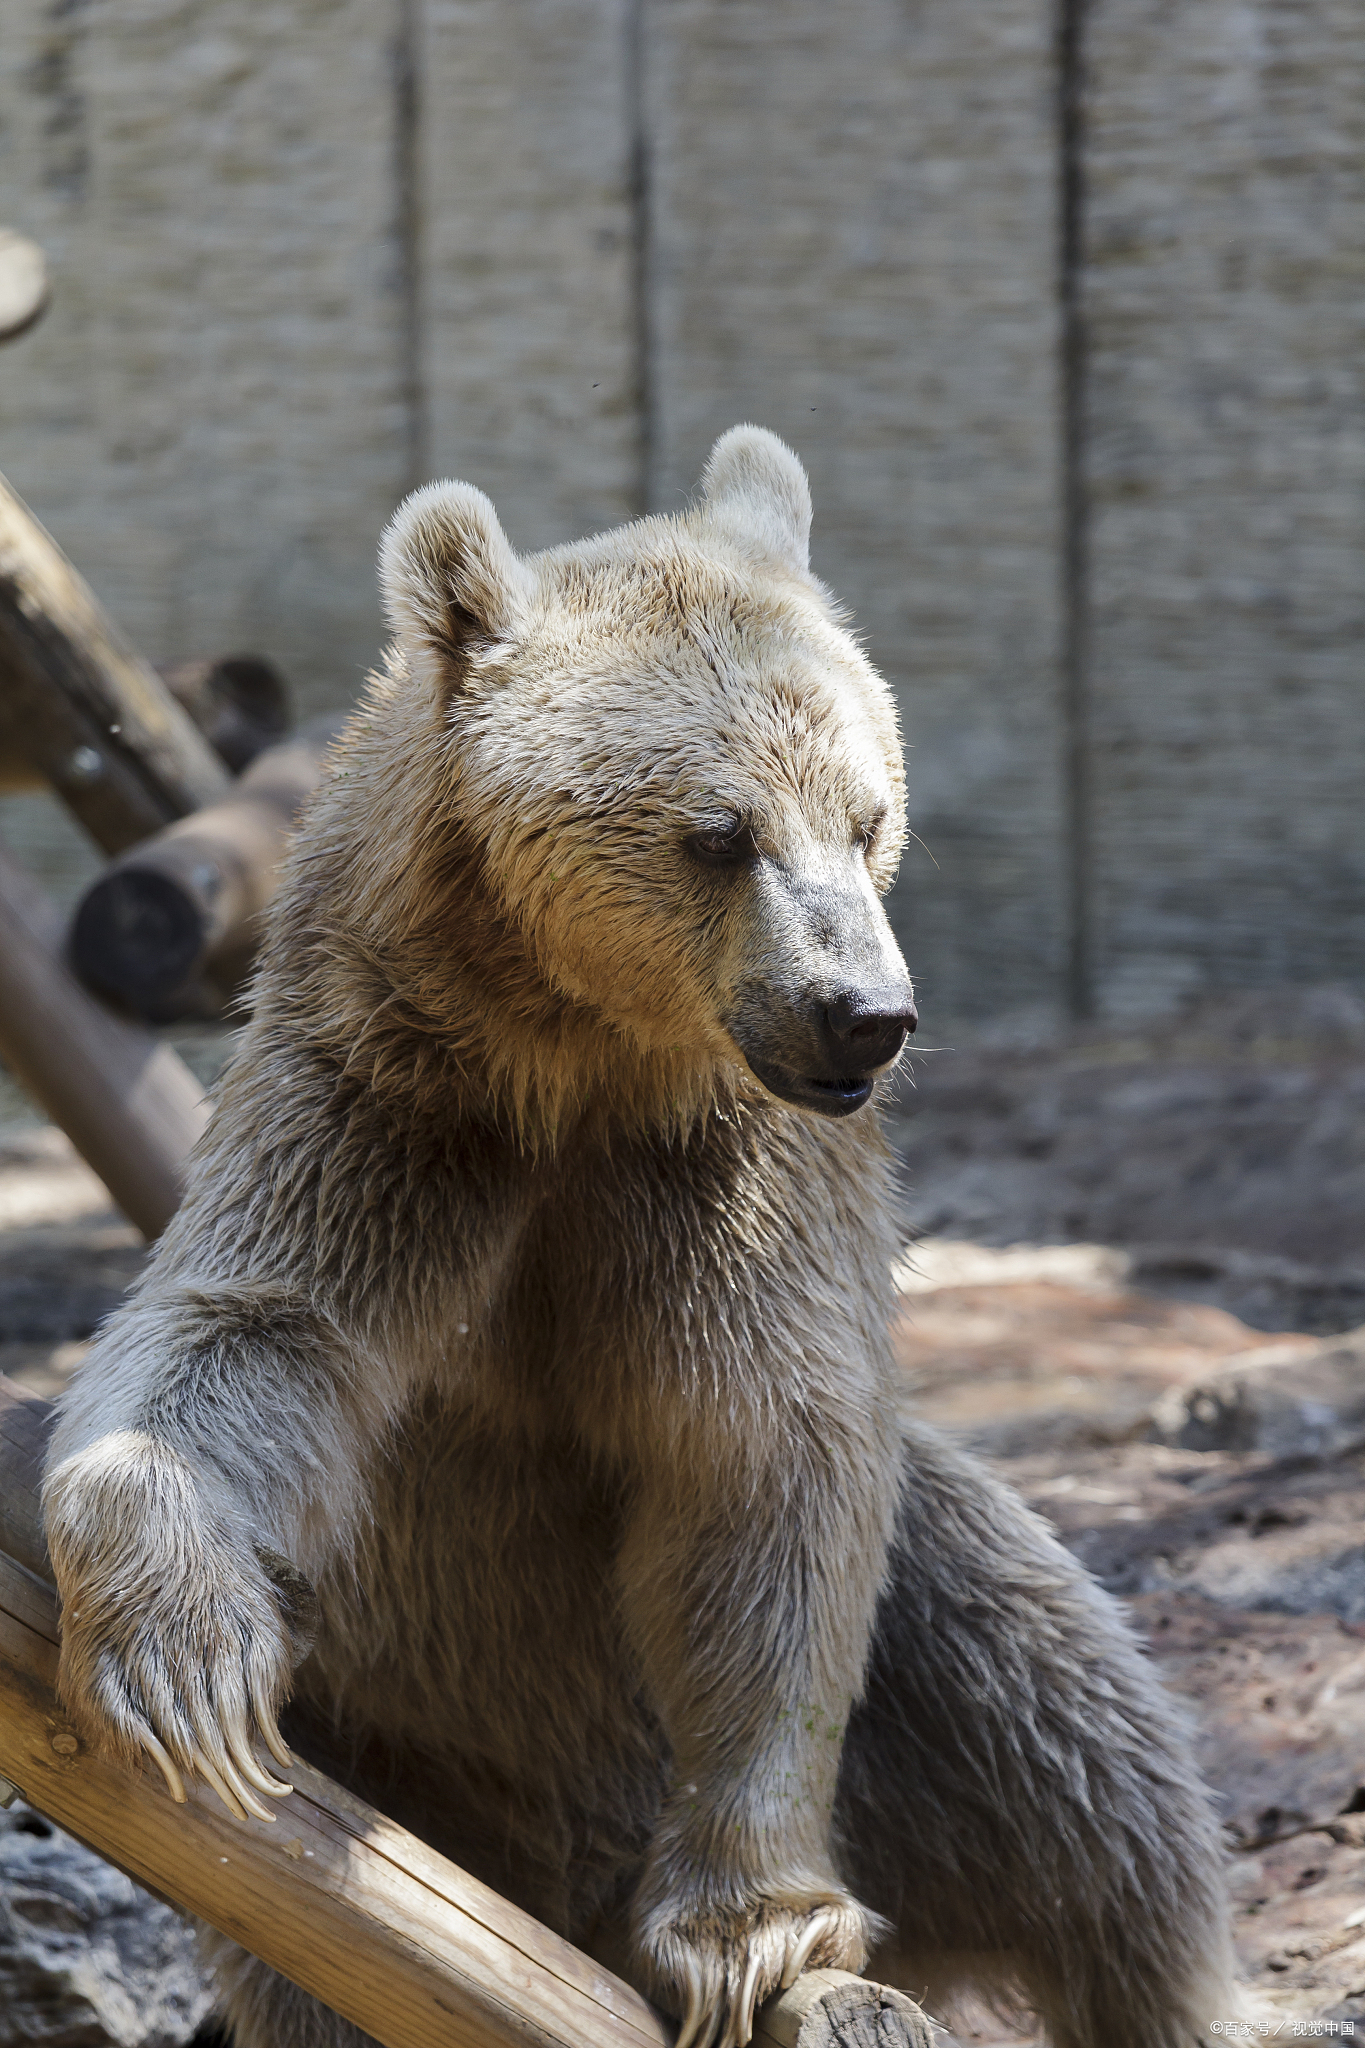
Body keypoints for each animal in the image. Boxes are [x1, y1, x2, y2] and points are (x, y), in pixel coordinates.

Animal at [48, 432, 1236, 2048]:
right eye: (719, 832)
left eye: (867, 814)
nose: (864, 1013)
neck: (576, 1058)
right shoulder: (384, 1107)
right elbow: (247, 1328)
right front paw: (181, 1656)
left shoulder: (726, 1185)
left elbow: (763, 1458)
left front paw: (752, 1928)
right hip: (384, 1718)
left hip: (930, 1662)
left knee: (1065, 1725)